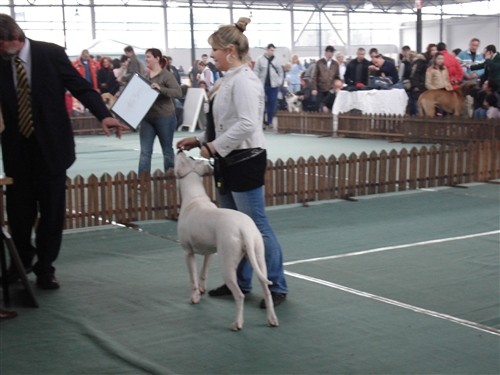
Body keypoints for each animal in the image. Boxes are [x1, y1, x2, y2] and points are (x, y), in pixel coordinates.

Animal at [175, 151, 278, 330]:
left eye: (186, 158)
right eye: (191, 158)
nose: (180, 150)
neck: (194, 197)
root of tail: (244, 229)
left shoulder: (188, 253)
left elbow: (193, 277)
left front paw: (194, 297)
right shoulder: (209, 253)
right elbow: (203, 272)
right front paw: (202, 290)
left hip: (227, 263)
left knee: (239, 295)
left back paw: (237, 323)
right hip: (258, 256)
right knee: (266, 290)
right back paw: (272, 319)